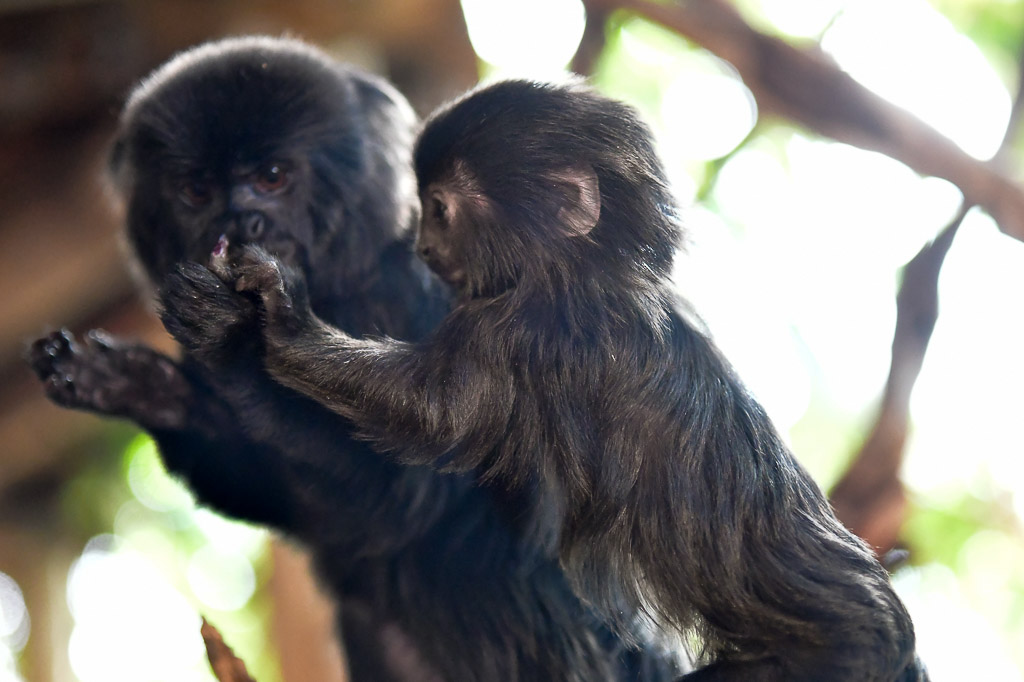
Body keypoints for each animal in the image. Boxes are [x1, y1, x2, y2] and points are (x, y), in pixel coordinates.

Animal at [28, 39, 682, 681]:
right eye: (197, 193)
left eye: (272, 177)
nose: (242, 220)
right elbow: (311, 514)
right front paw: (135, 385)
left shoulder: (428, 292)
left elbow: (403, 495)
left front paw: (234, 343)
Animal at [159, 78, 930, 681]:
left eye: (440, 209)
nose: (422, 245)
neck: (582, 271)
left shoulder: (533, 334)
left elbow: (431, 414)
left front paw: (270, 327)